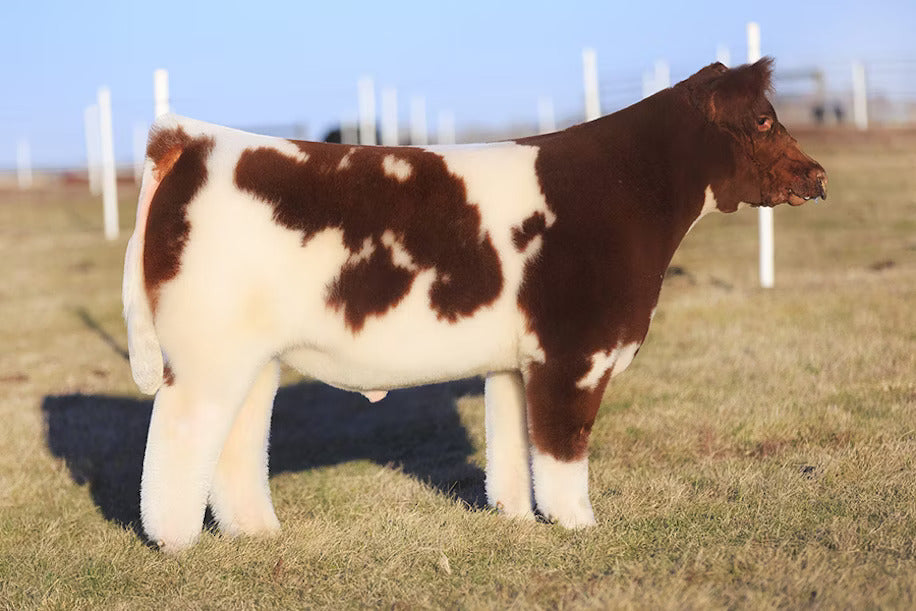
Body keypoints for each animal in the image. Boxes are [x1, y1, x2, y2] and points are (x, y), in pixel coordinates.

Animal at [123, 58, 827, 552]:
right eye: (763, 120)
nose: (818, 175)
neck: (628, 190)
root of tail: (193, 139)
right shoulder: (575, 353)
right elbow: (563, 448)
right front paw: (580, 527)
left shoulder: (518, 361)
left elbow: (513, 445)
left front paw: (517, 520)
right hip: (206, 356)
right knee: (178, 442)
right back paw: (177, 544)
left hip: (254, 360)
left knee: (238, 445)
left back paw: (258, 534)